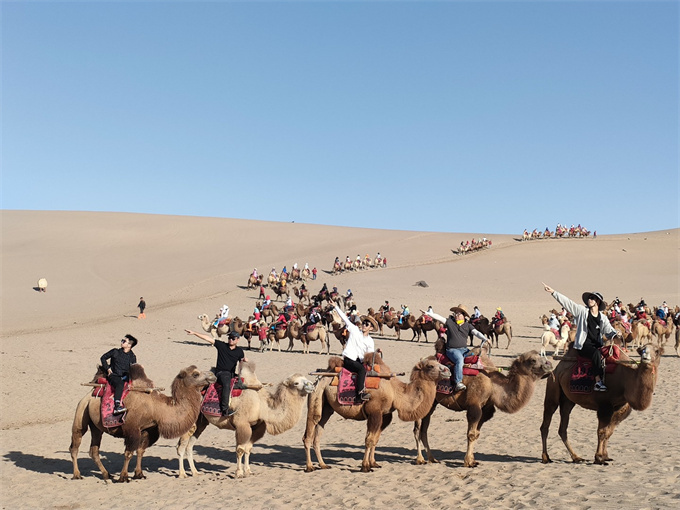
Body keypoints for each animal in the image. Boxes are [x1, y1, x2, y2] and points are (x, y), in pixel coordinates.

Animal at [71, 364, 215, 480]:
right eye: (196, 374)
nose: (213, 375)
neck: (156, 408)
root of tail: (89, 394)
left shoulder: (148, 430)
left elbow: (140, 451)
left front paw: (139, 474)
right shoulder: (132, 429)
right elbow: (128, 453)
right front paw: (123, 477)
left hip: (96, 426)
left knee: (94, 450)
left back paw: (106, 474)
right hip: (81, 412)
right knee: (75, 444)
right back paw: (77, 474)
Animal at [175, 362, 314, 478]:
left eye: (305, 378)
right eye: (296, 383)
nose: (312, 385)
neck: (261, 405)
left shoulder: (257, 426)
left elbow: (248, 448)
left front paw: (248, 471)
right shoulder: (242, 424)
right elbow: (240, 449)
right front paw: (239, 473)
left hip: (201, 422)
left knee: (190, 445)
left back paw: (195, 472)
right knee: (181, 446)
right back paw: (182, 474)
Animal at [302, 354, 452, 470]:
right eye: (430, 366)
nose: (448, 370)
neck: (395, 391)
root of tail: (319, 378)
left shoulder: (385, 415)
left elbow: (375, 439)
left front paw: (373, 463)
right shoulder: (374, 412)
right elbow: (369, 440)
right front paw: (365, 466)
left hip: (327, 407)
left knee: (319, 431)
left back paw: (323, 465)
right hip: (316, 395)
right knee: (310, 429)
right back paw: (310, 467)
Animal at [414, 340, 552, 468]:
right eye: (533, 360)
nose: (549, 364)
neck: (492, 384)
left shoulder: (486, 410)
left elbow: (476, 434)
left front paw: (473, 460)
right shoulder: (474, 406)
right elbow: (471, 434)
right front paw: (468, 463)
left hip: (432, 403)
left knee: (424, 430)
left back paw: (432, 459)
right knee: (417, 429)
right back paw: (420, 459)